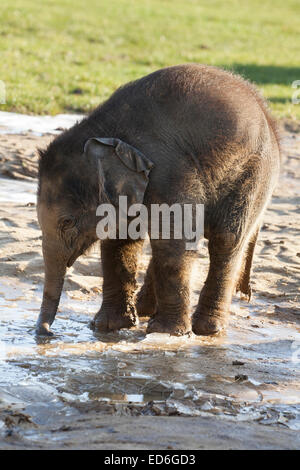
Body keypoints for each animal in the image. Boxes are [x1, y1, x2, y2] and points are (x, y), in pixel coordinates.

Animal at [35, 64, 282, 336]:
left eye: (67, 222)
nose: (46, 332)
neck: (105, 133)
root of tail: (267, 114)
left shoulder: (170, 173)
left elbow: (175, 241)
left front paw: (167, 333)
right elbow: (120, 242)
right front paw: (107, 326)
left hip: (253, 175)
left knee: (227, 240)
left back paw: (207, 329)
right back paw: (144, 309)